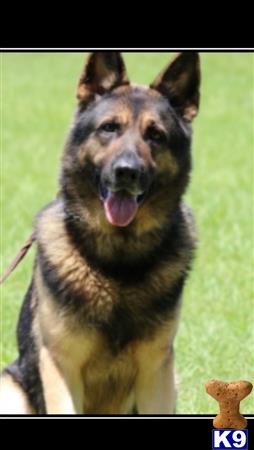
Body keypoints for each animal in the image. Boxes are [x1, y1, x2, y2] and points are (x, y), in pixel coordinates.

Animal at [0, 51, 199, 414]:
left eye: (155, 135)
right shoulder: (60, 366)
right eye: (109, 128)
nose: (127, 172)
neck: (118, 264)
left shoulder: (156, 371)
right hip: (10, 388)